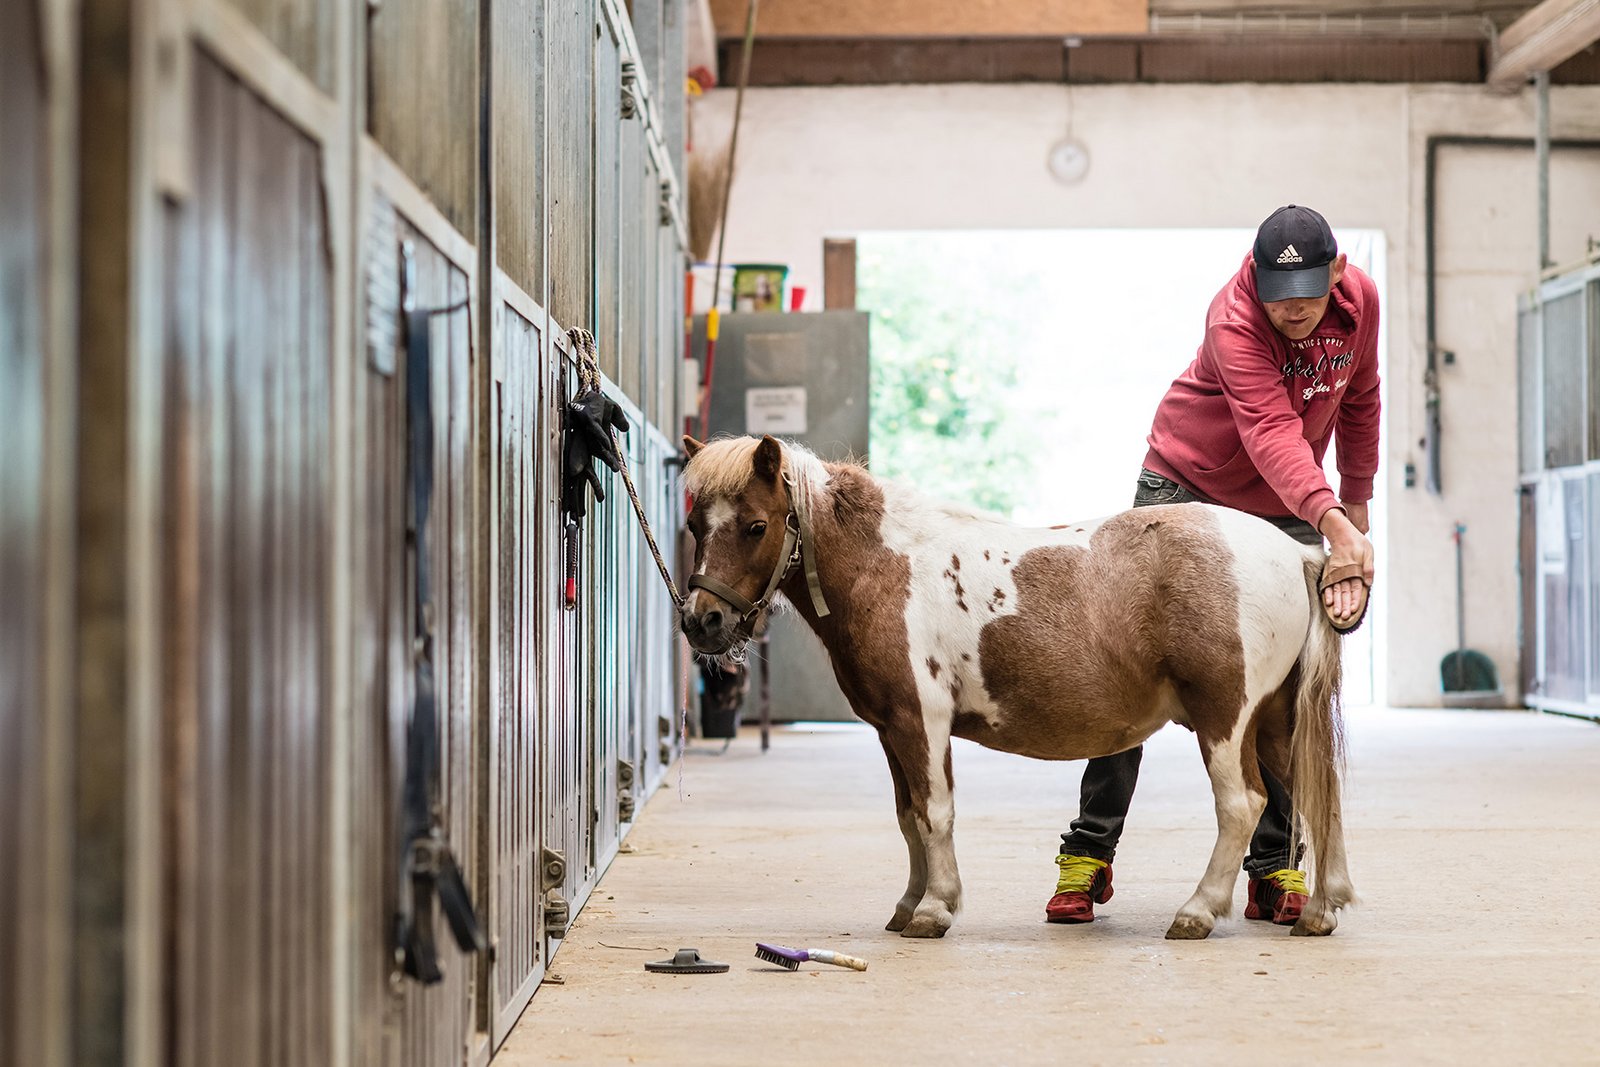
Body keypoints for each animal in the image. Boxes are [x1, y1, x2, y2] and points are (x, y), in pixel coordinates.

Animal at [681, 435, 1356, 940]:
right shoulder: (891, 729)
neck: (886, 568)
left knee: (1242, 805)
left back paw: (1197, 912)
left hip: (1226, 719)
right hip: (1275, 722)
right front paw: (908, 905)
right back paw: (1319, 913)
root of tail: (1297, 556)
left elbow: (934, 812)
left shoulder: (921, 721)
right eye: (693, 523)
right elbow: (907, 816)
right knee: (1316, 795)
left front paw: (935, 908)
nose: (700, 621)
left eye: (755, 525)